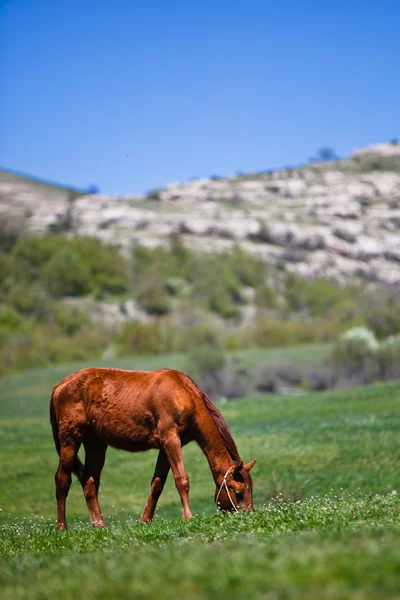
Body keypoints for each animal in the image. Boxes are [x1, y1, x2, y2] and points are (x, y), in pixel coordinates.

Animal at [50, 366, 256, 528]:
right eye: (238, 492)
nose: (249, 516)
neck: (184, 394)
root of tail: (60, 385)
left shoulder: (166, 447)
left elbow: (157, 484)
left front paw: (145, 521)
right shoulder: (170, 440)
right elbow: (182, 479)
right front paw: (188, 517)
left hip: (96, 444)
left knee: (89, 481)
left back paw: (100, 526)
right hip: (70, 439)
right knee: (62, 480)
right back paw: (62, 528)